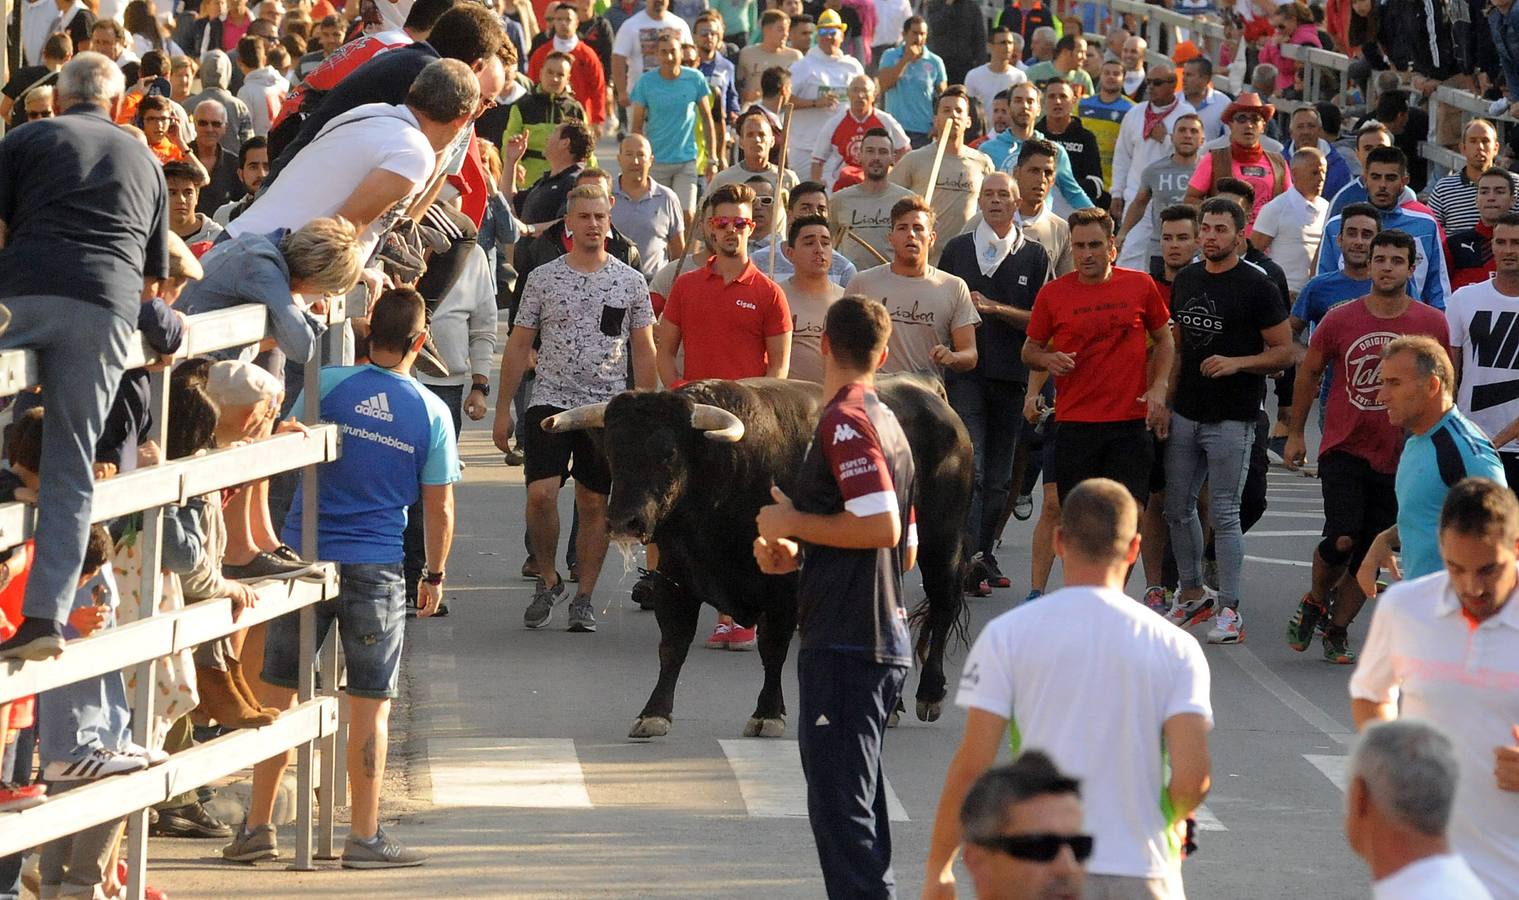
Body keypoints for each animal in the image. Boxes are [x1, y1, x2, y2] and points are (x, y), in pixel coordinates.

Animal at [546, 375, 972, 741]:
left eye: (667, 453)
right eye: (612, 451)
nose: (624, 521)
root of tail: (930, 394)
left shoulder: (783, 586)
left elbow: (773, 645)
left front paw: (767, 713)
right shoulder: (674, 578)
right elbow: (673, 645)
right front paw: (654, 713)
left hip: (943, 544)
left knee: (943, 604)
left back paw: (929, 694)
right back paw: (893, 706)